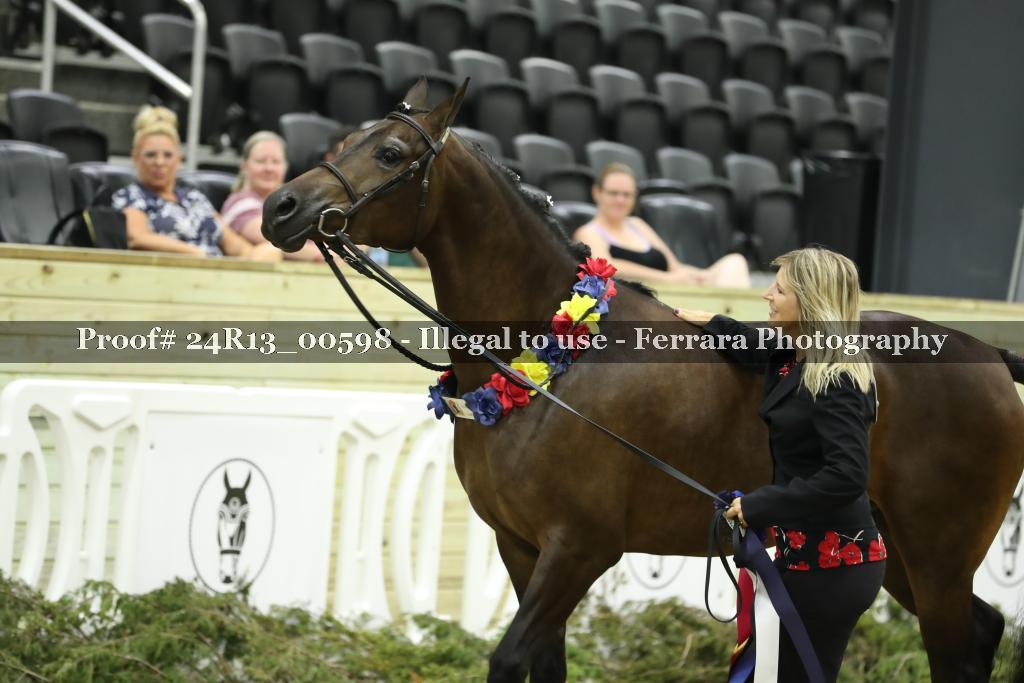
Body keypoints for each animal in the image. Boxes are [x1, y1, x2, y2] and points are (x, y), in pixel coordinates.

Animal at [261, 80, 1024, 682]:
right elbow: (545, 661)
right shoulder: (521, 546)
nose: (282, 208)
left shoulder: (580, 548)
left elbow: (510, 658)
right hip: (893, 553)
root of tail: (988, 354)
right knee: (983, 629)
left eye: (390, 154)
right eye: (344, 138)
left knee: (957, 644)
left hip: (937, 556)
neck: (553, 366)